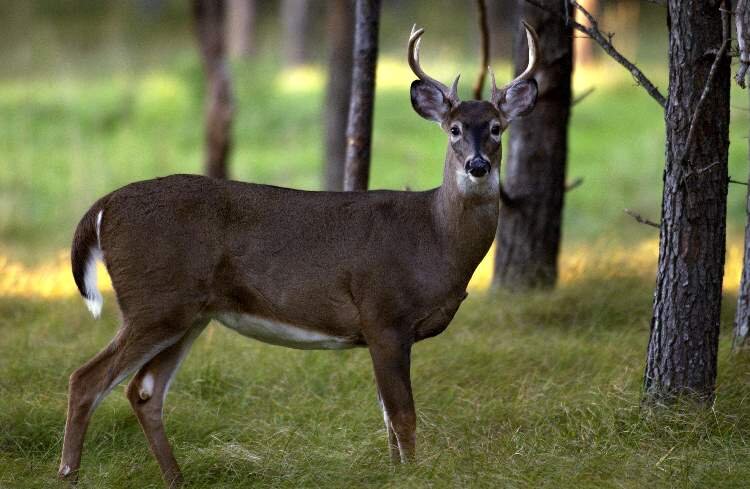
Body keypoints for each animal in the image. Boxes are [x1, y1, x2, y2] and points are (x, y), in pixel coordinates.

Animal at [58, 23, 539, 487]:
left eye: (496, 128)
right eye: (454, 129)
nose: (477, 166)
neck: (435, 239)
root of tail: (103, 207)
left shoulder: (382, 329)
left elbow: (387, 418)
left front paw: (396, 473)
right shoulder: (384, 315)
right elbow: (403, 417)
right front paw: (412, 477)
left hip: (189, 313)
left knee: (144, 391)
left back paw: (176, 479)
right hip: (154, 300)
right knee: (86, 380)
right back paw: (70, 475)